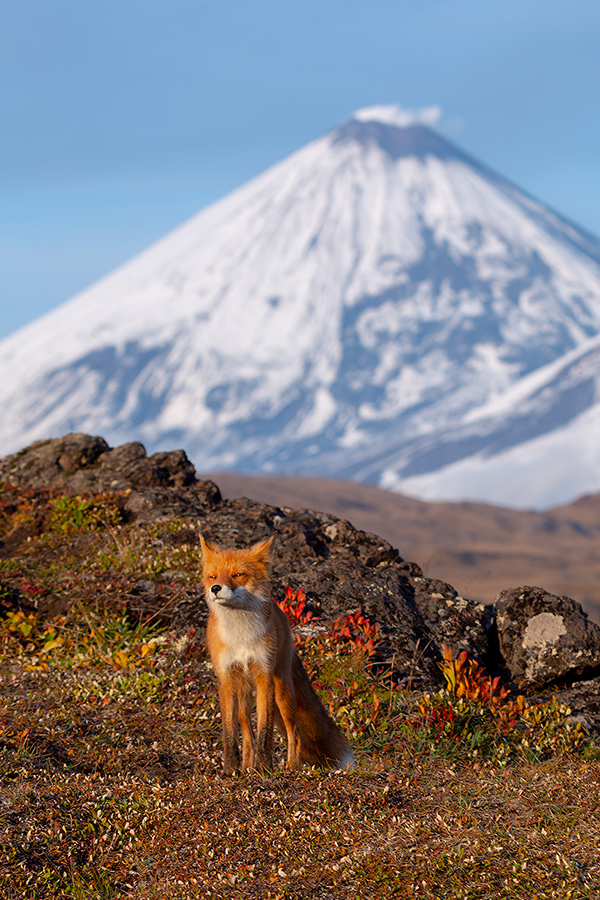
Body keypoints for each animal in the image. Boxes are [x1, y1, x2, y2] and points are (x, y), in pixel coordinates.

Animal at [199, 536, 354, 772]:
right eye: (213, 576)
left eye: (238, 574)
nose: (215, 588)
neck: (241, 636)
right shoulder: (226, 679)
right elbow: (230, 734)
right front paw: (231, 770)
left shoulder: (264, 675)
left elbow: (265, 730)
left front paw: (265, 768)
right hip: (244, 697)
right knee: (247, 735)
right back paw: (247, 767)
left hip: (283, 692)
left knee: (295, 732)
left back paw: (292, 767)